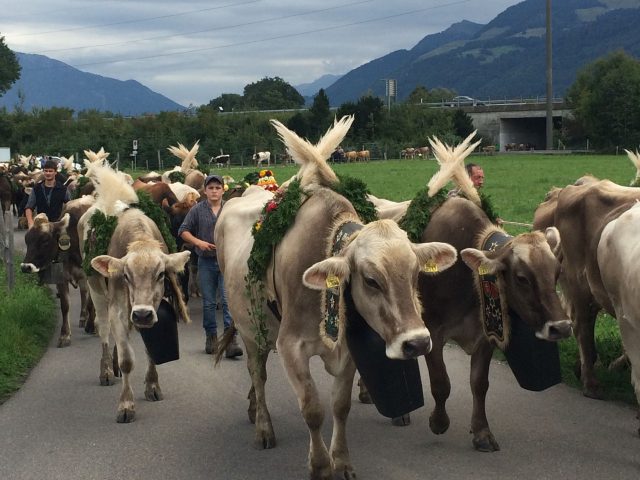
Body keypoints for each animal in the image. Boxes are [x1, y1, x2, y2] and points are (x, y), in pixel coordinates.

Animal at [19, 193, 96, 346]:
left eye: (45, 241)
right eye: (27, 240)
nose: (25, 267)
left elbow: (92, 302)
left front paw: (92, 325)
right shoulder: (62, 277)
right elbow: (65, 306)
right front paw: (65, 335)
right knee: (83, 292)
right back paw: (83, 317)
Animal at [76, 162, 189, 424]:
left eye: (161, 274)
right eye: (126, 276)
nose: (141, 315)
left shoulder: (154, 309)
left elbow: (152, 350)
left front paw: (152, 386)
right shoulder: (120, 309)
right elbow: (127, 360)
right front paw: (126, 405)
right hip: (96, 291)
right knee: (104, 329)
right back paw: (108, 370)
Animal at [214, 115, 456, 476]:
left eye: (415, 274)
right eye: (370, 280)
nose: (417, 343)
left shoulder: (348, 351)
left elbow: (340, 407)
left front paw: (340, 461)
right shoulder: (291, 346)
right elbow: (313, 409)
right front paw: (319, 465)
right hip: (249, 329)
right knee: (257, 373)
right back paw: (263, 427)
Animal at [372, 131, 572, 450]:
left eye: (556, 273)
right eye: (521, 278)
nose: (562, 327)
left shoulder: (486, 330)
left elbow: (480, 385)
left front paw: (482, 432)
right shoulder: (433, 330)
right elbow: (441, 383)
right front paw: (439, 422)